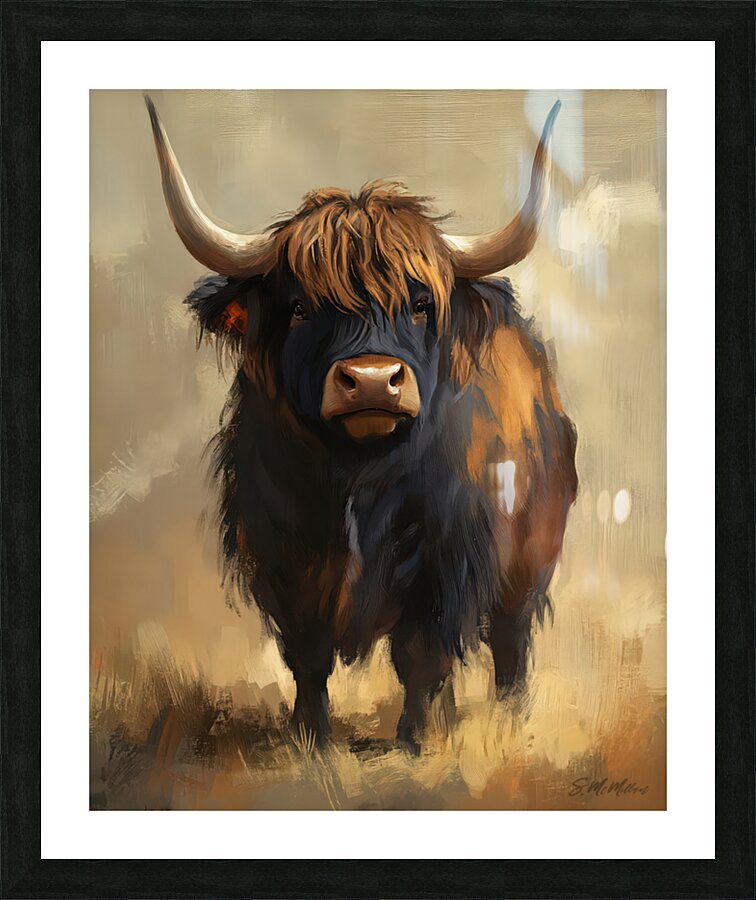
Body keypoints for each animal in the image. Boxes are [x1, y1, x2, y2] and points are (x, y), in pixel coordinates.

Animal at [146, 96, 577, 752]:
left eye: (421, 304)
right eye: (299, 307)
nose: (372, 380)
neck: (358, 480)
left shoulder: (447, 564)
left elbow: (421, 654)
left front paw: (414, 743)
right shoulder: (281, 558)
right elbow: (308, 657)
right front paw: (312, 739)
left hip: (530, 558)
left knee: (510, 641)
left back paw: (508, 715)